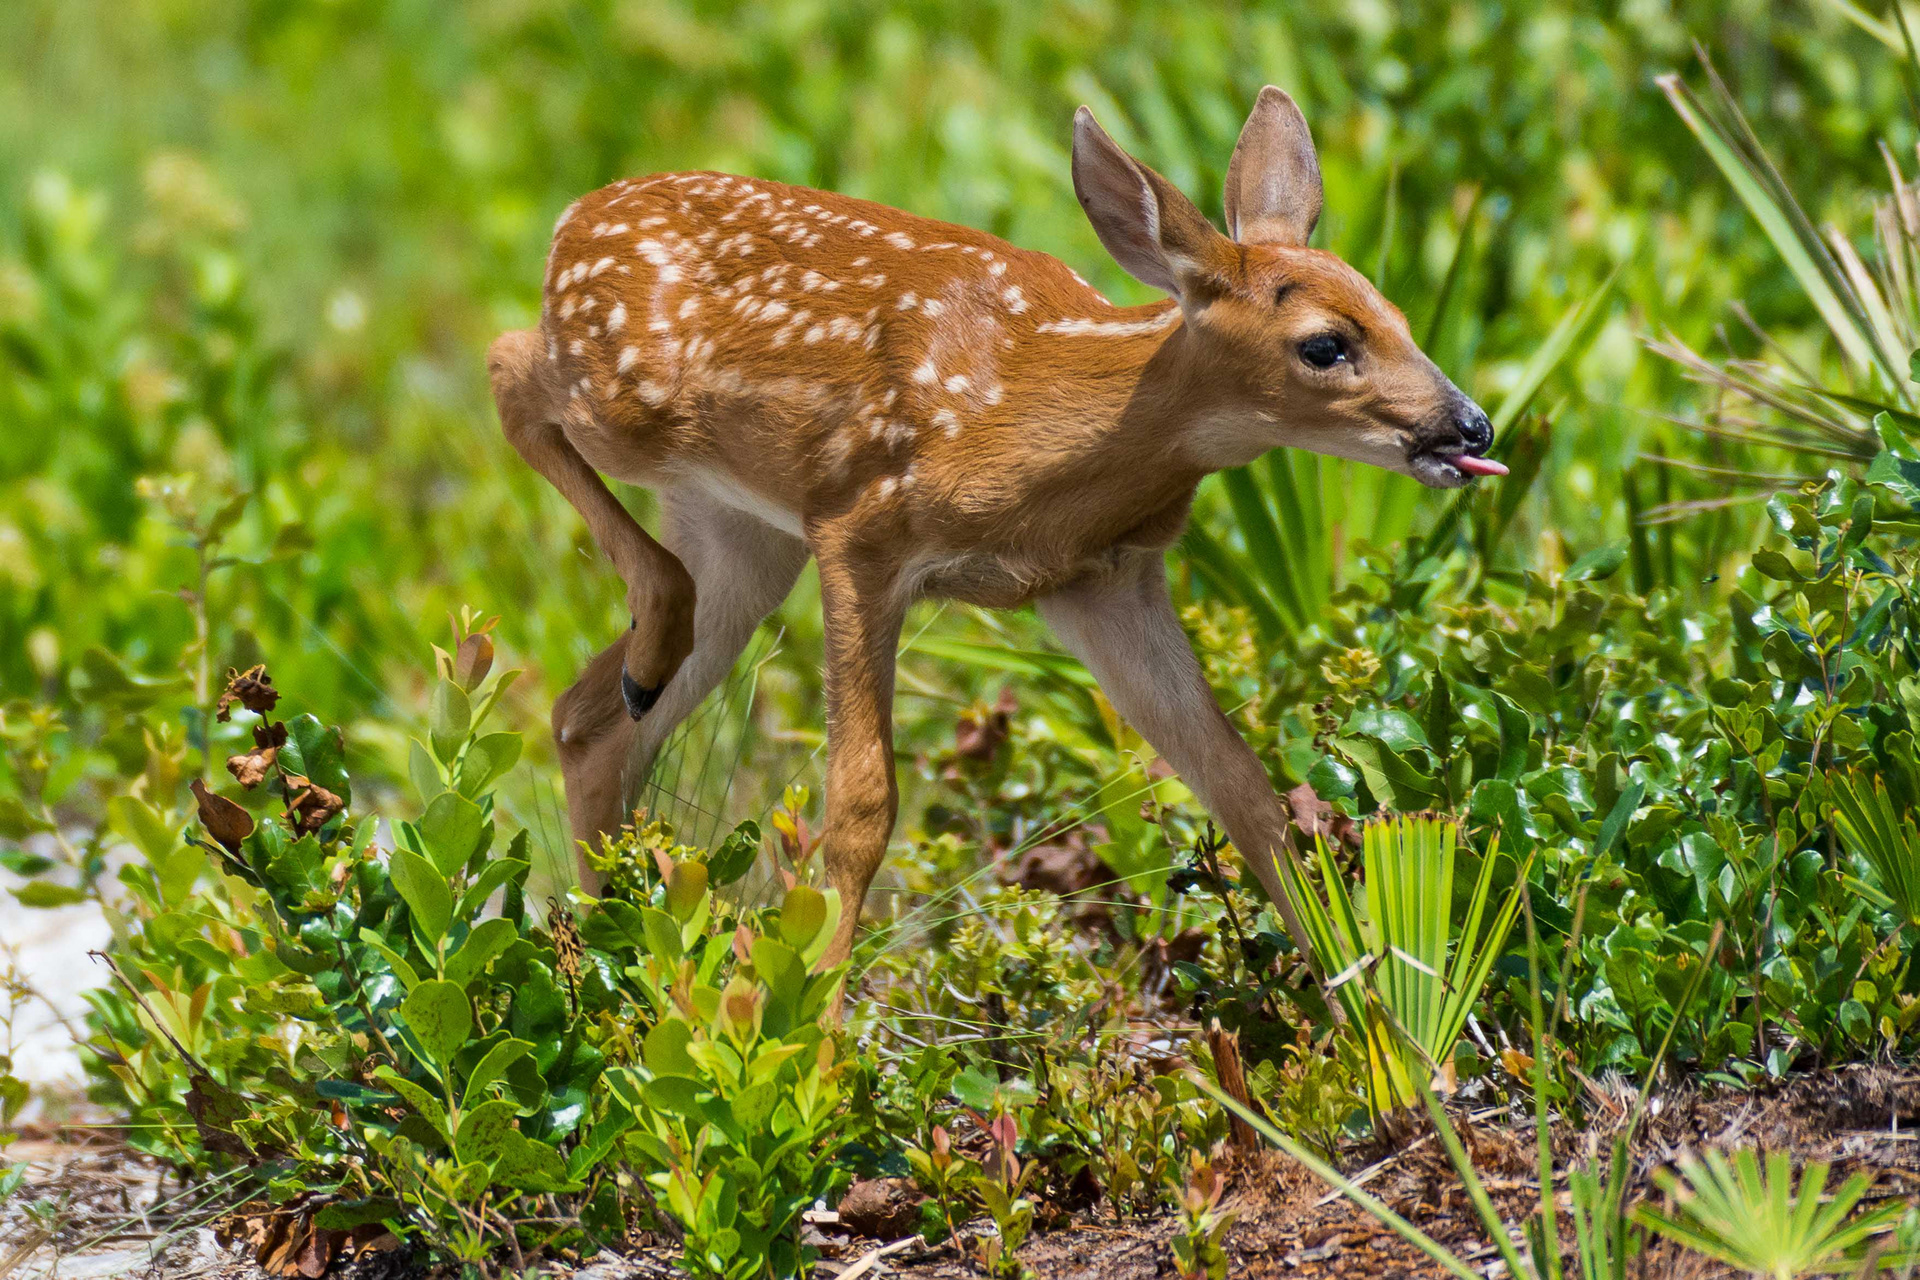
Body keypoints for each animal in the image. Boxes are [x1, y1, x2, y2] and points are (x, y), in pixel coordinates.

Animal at [487, 86, 1506, 971]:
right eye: (1326, 345)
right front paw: (815, 1043)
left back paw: (623, 939)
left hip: (741, 530)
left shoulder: (1103, 579)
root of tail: (575, 213)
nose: (1472, 428)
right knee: (507, 365)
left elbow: (1238, 787)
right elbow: (862, 808)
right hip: (623, 402)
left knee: (587, 718)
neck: (1030, 416)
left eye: (1401, 314)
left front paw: (1380, 1034)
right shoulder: (860, 530)